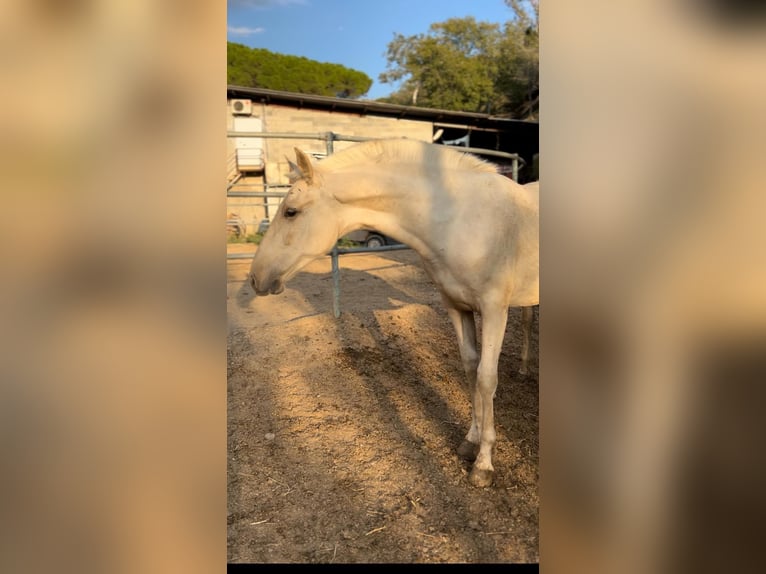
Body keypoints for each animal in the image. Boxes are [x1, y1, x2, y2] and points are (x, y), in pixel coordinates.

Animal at [249, 138, 536, 486]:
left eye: (291, 212)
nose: (255, 278)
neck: (461, 218)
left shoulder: (495, 309)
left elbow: (486, 378)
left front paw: (484, 465)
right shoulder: (456, 306)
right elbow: (470, 368)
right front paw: (471, 441)